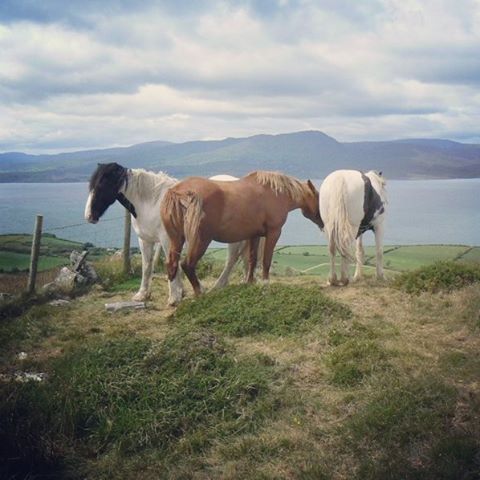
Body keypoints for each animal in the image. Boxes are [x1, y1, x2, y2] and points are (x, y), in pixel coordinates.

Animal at [160, 170, 323, 300]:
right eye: (318, 196)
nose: (322, 222)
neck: (275, 193)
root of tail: (177, 191)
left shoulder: (254, 235)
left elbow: (252, 259)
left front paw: (249, 282)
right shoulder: (273, 233)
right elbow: (266, 261)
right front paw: (265, 284)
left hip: (176, 239)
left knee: (172, 265)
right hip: (201, 240)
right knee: (187, 265)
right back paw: (200, 292)